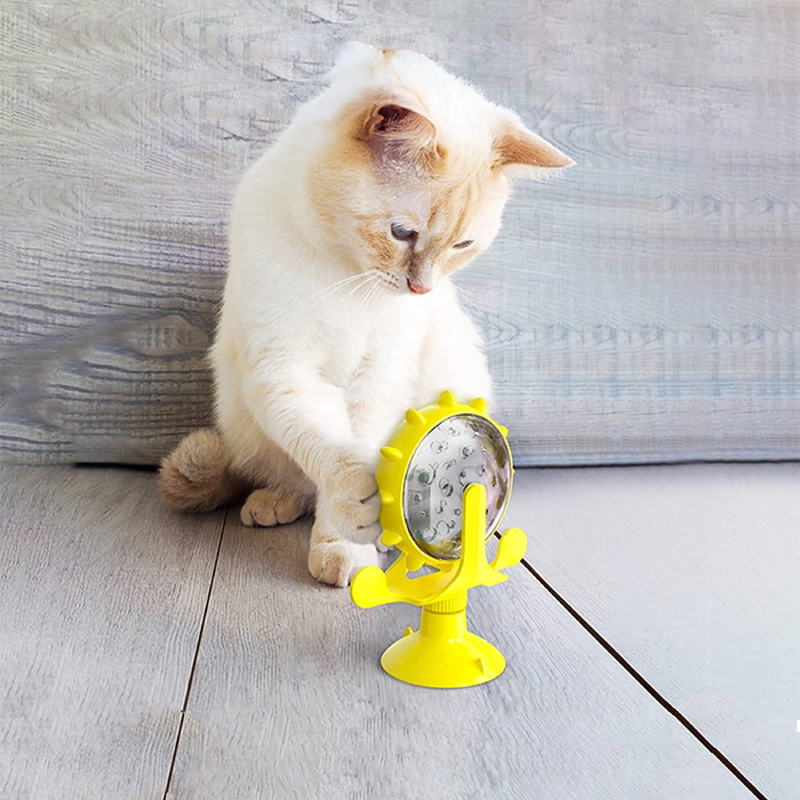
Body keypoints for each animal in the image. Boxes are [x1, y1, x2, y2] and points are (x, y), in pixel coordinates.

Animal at [159, 42, 572, 588]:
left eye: (463, 245)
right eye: (402, 233)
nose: (421, 288)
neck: (348, 277)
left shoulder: (379, 376)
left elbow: (364, 449)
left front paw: (349, 546)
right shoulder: (283, 369)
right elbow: (327, 447)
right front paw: (357, 511)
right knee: (293, 477)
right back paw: (275, 503)